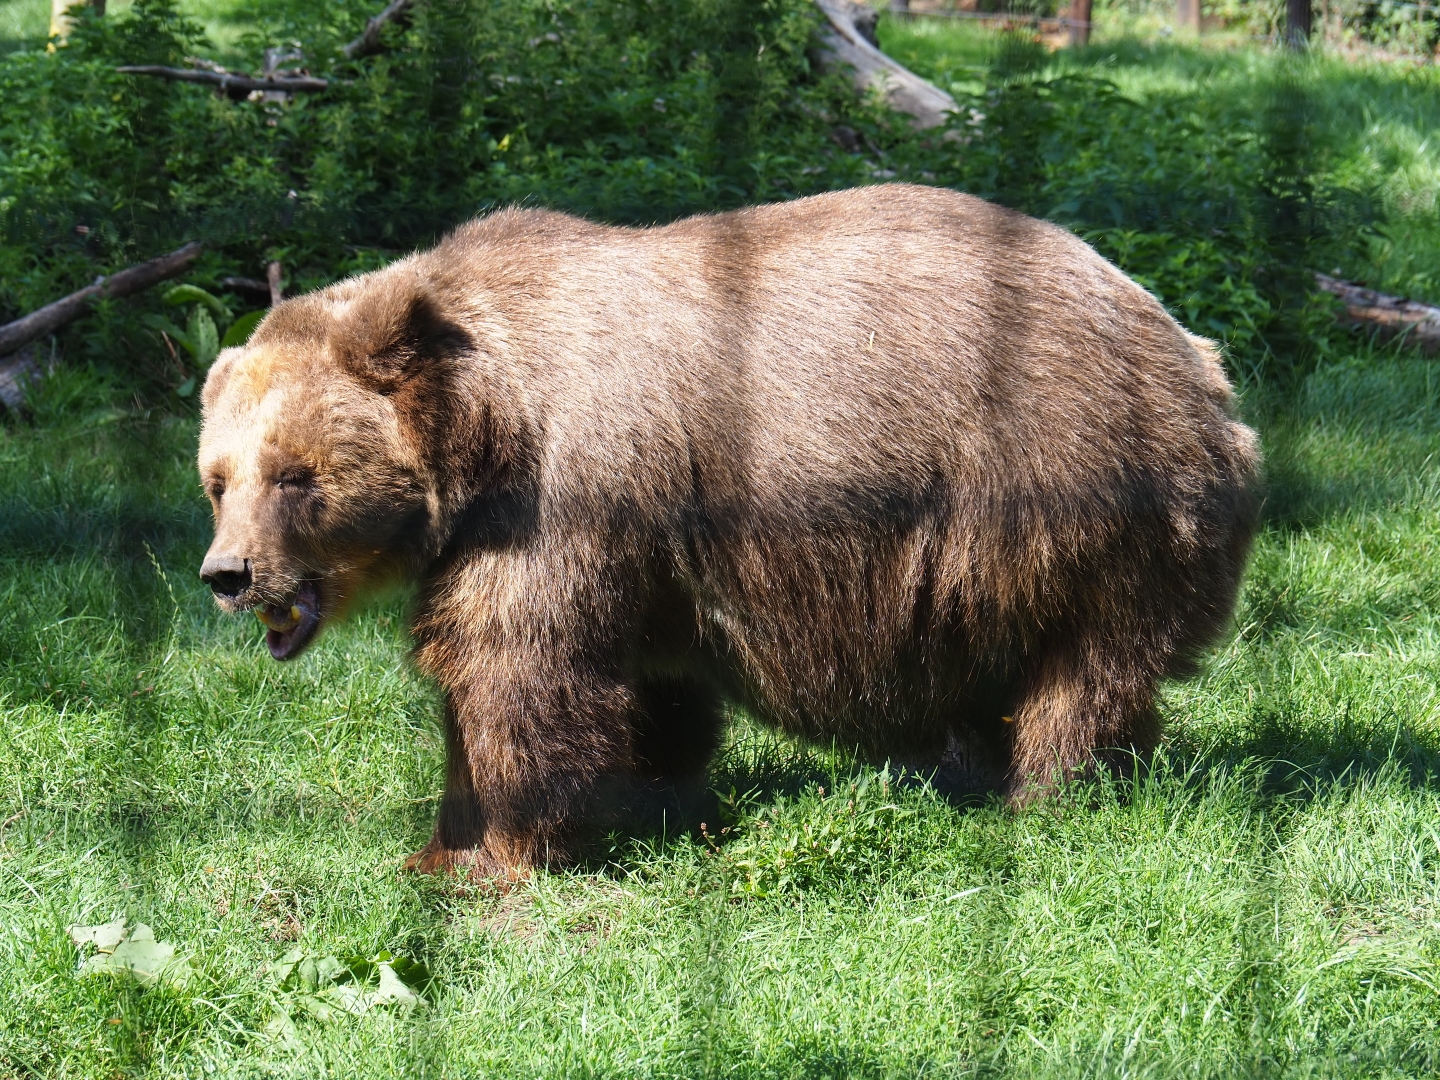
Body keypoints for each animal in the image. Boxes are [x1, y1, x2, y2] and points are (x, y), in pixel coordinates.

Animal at [197, 183, 1261, 878]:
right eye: (217, 479)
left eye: (296, 476)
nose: (230, 574)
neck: (485, 426)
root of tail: (1193, 352)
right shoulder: (616, 548)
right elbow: (642, 685)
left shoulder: (558, 499)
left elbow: (512, 664)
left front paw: (493, 850)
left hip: (1066, 488)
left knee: (1081, 668)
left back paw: (1046, 791)